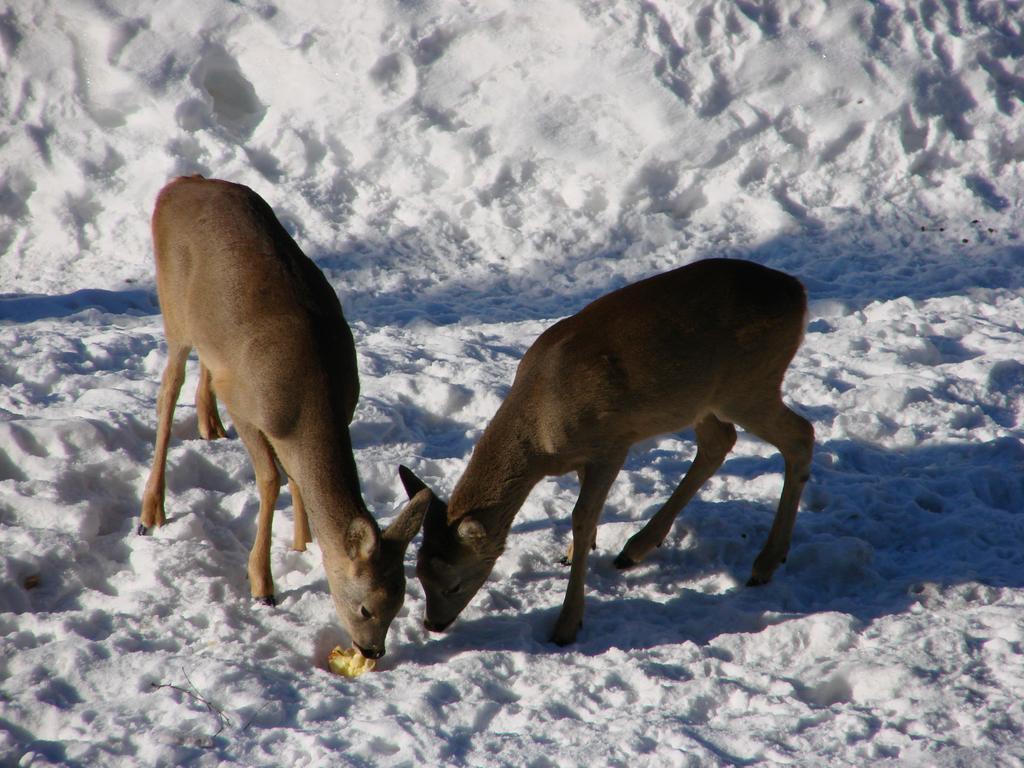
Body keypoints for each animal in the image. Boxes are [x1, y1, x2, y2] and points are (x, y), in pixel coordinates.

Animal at [140, 176, 428, 663]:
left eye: (402, 599)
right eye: (366, 607)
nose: (372, 651)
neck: (311, 400)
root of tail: (177, 185)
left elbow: (295, 477)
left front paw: (304, 541)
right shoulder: (249, 409)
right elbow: (272, 480)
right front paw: (263, 585)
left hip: (205, 331)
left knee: (204, 371)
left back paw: (209, 426)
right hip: (172, 304)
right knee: (167, 391)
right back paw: (150, 511)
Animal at [399, 262, 815, 647]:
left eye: (453, 584)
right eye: (418, 573)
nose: (432, 623)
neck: (543, 441)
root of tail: (798, 291)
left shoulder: (612, 443)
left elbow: (582, 517)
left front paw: (567, 623)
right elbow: (590, 516)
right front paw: (573, 555)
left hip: (749, 385)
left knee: (801, 435)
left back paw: (765, 563)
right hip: (702, 400)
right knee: (719, 441)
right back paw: (637, 548)